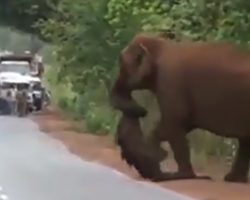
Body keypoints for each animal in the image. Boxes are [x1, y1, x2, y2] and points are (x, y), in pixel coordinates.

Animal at [110, 32, 250, 183]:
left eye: (122, 63)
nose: (142, 111)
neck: (162, 45)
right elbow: (171, 128)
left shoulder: (170, 82)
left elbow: (174, 124)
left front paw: (182, 175)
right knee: (245, 141)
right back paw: (233, 179)